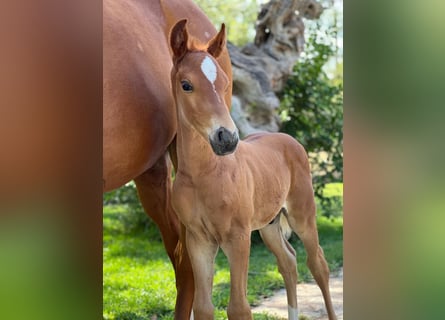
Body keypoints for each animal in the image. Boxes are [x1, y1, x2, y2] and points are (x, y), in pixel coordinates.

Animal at [170, 20, 336, 320]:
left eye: (225, 84)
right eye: (186, 85)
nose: (227, 138)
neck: (204, 174)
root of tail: (288, 139)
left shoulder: (238, 237)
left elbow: (238, 307)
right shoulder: (198, 240)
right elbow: (203, 308)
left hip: (302, 215)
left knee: (318, 263)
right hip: (269, 225)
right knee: (289, 262)